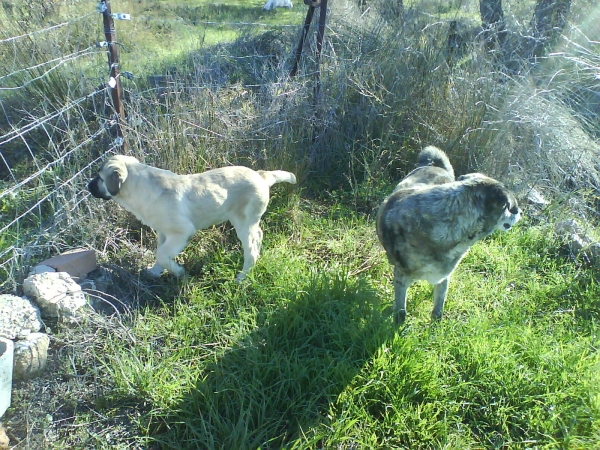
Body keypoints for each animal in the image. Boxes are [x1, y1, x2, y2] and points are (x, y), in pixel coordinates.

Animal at [88, 156, 296, 280]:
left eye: (99, 177)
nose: (87, 186)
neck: (140, 187)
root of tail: (261, 176)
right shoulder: (163, 232)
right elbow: (159, 253)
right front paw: (155, 272)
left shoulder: (181, 232)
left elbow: (162, 254)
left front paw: (178, 272)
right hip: (249, 221)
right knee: (258, 236)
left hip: (243, 221)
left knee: (251, 250)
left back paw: (242, 277)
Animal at [376, 146, 520, 326]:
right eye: (510, 207)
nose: (520, 213)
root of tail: (434, 166)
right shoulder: (402, 279)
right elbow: (401, 311)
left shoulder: (444, 277)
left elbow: (439, 306)